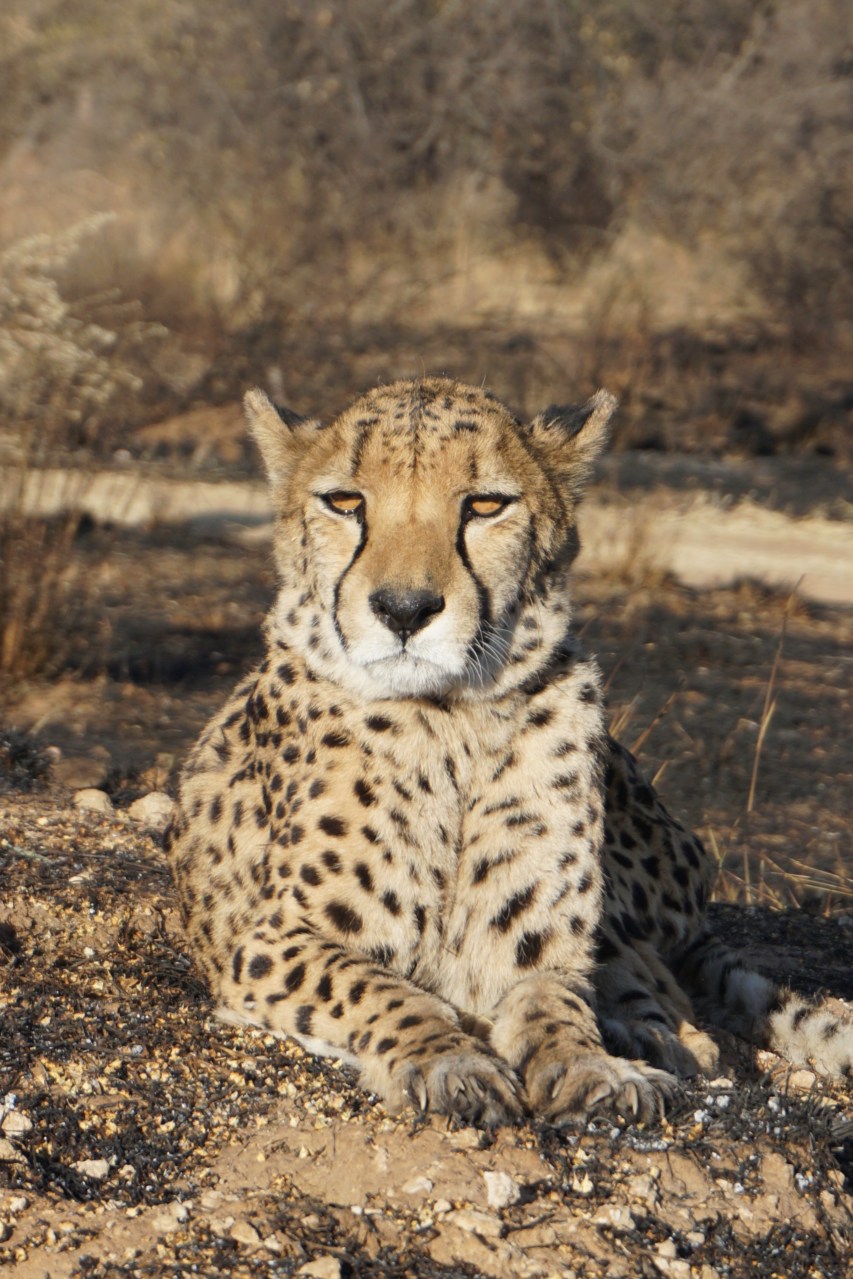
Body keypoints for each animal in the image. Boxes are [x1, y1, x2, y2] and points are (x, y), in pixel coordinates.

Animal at [167, 375, 853, 1127]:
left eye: (485, 505)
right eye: (345, 502)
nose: (404, 609)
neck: (451, 719)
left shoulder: (540, 956)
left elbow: (557, 1002)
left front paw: (588, 1063)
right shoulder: (270, 942)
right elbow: (381, 988)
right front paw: (450, 1059)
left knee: (660, 982)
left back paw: (655, 1037)